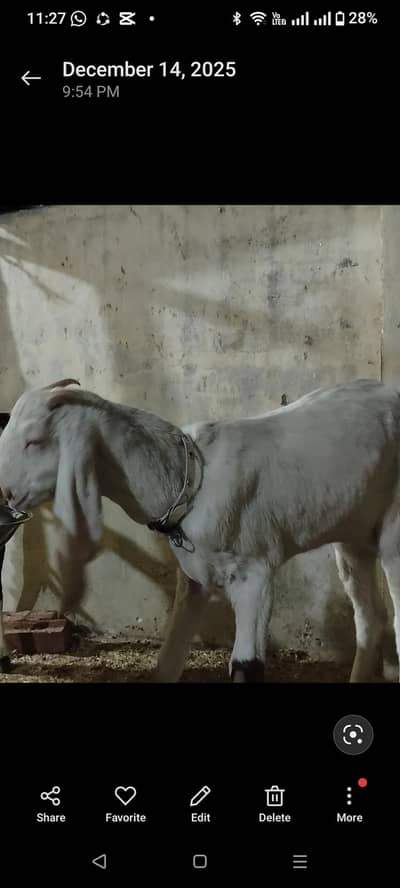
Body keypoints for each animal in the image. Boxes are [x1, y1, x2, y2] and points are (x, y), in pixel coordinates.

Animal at [0, 377, 398, 683]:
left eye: (34, 440)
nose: (5, 492)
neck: (188, 477)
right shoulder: (193, 580)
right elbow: (168, 659)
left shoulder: (253, 574)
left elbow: (246, 666)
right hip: (354, 536)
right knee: (371, 618)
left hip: (393, 531)